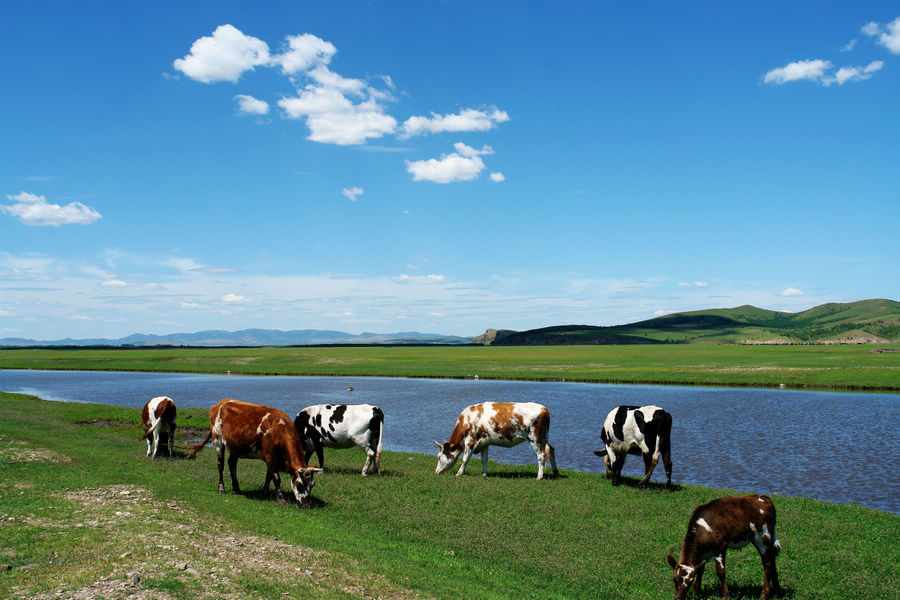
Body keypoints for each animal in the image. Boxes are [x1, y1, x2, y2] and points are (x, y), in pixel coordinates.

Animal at [188, 398, 322, 506]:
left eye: (312, 485)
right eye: (300, 485)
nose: (306, 504)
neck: (279, 430)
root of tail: (221, 403)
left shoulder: (272, 459)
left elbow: (269, 476)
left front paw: (264, 493)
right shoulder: (269, 456)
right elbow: (276, 478)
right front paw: (280, 499)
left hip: (235, 445)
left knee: (232, 464)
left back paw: (237, 488)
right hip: (218, 441)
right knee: (221, 465)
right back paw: (221, 488)